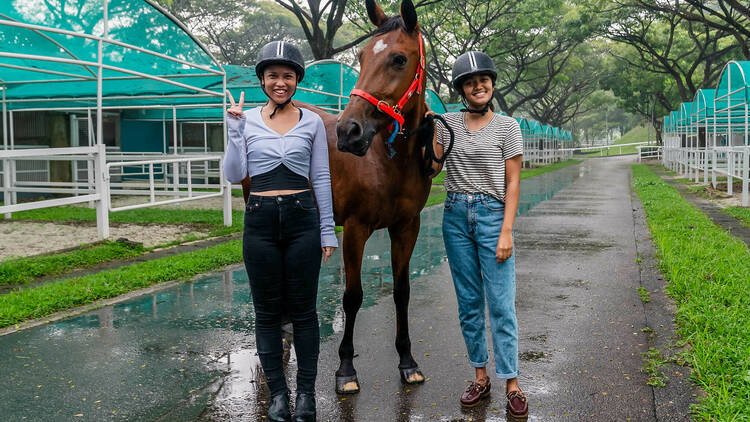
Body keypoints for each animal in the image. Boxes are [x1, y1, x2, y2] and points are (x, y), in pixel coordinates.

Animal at [244, 0, 438, 396]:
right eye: (361, 57)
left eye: (398, 59)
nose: (350, 132)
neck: (387, 160)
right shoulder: (356, 229)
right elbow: (353, 297)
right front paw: (346, 369)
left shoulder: (407, 227)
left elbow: (402, 291)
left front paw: (407, 362)